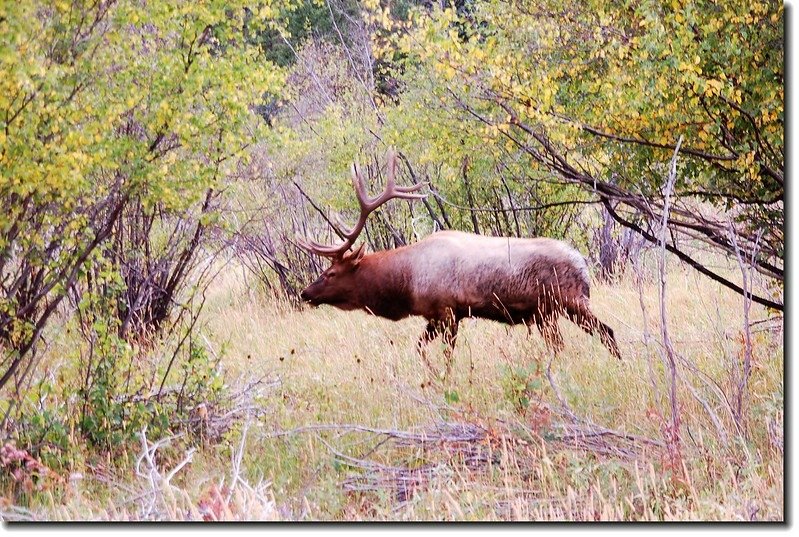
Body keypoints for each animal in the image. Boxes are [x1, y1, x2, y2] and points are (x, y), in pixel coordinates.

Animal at [296, 150, 620, 376]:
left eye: (331, 272)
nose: (305, 293)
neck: (406, 282)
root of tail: (583, 264)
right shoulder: (434, 316)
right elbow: (419, 349)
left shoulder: (448, 311)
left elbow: (447, 355)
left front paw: (446, 378)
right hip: (550, 312)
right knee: (583, 338)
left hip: (568, 303)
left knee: (604, 332)